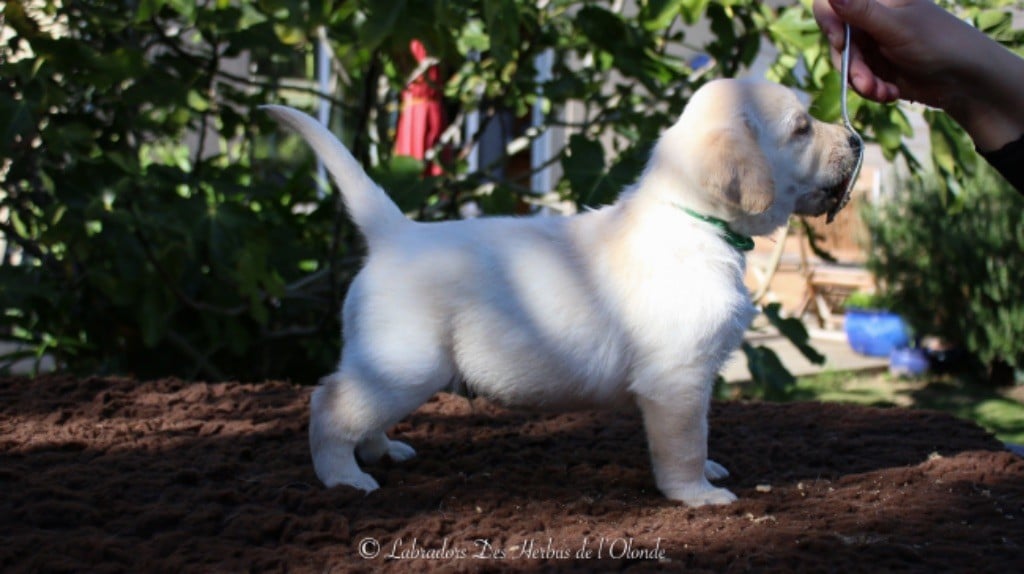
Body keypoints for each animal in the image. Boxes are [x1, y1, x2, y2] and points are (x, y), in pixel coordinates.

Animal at [266, 77, 864, 505]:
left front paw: (711, 469)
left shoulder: (693, 377)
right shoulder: (678, 377)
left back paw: (380, 451)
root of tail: (395, 233)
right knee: (329, 404)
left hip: (390, 366)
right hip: (407, 363)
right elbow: (684, 443)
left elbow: (701, 432)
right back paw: (344, 478)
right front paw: (700, 494)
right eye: (801, 128)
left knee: (360, 410)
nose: (857, 139)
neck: (694, 218)